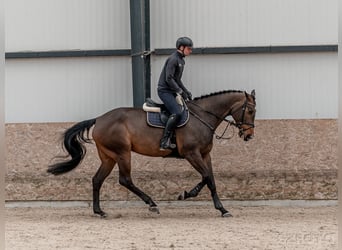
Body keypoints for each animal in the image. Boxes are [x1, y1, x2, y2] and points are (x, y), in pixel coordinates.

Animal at [48, 89, 256, 217]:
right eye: (250, 111)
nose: (249, 135)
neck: (203, 116)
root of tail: (99, 119)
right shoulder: (192, 154)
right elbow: (206, 177)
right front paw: (185, 194)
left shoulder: (205, 155)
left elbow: (211, 180)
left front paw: (222, 209)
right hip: (122, 153)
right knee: (125, 180)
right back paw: (151, 204)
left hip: (109, 157)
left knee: (97, 180)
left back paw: (99, 211)